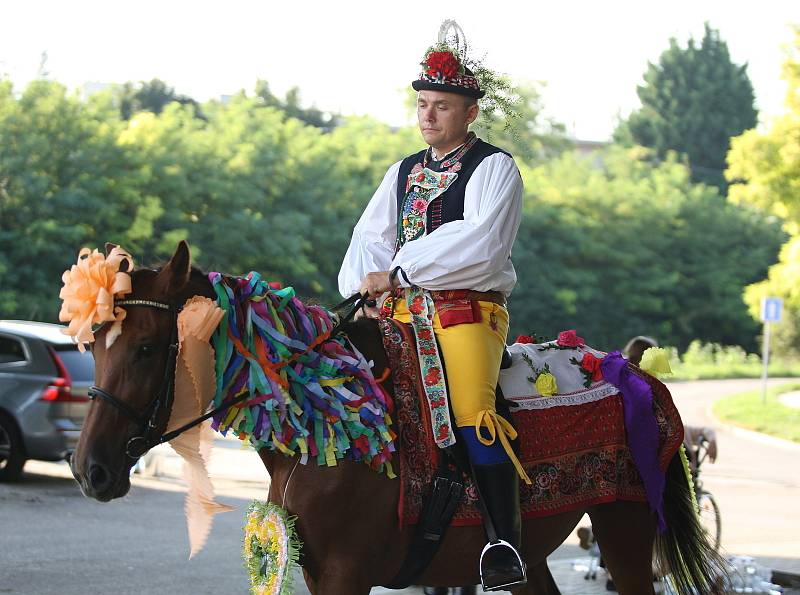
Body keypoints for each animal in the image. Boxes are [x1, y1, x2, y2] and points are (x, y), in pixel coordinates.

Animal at [70, 243, 724, 595]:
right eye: (95, 344)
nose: (88, 470)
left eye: (147, 348)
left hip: (626, 531)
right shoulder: (315, 571)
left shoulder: (345, 574)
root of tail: (629, 369)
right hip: (537, 552)